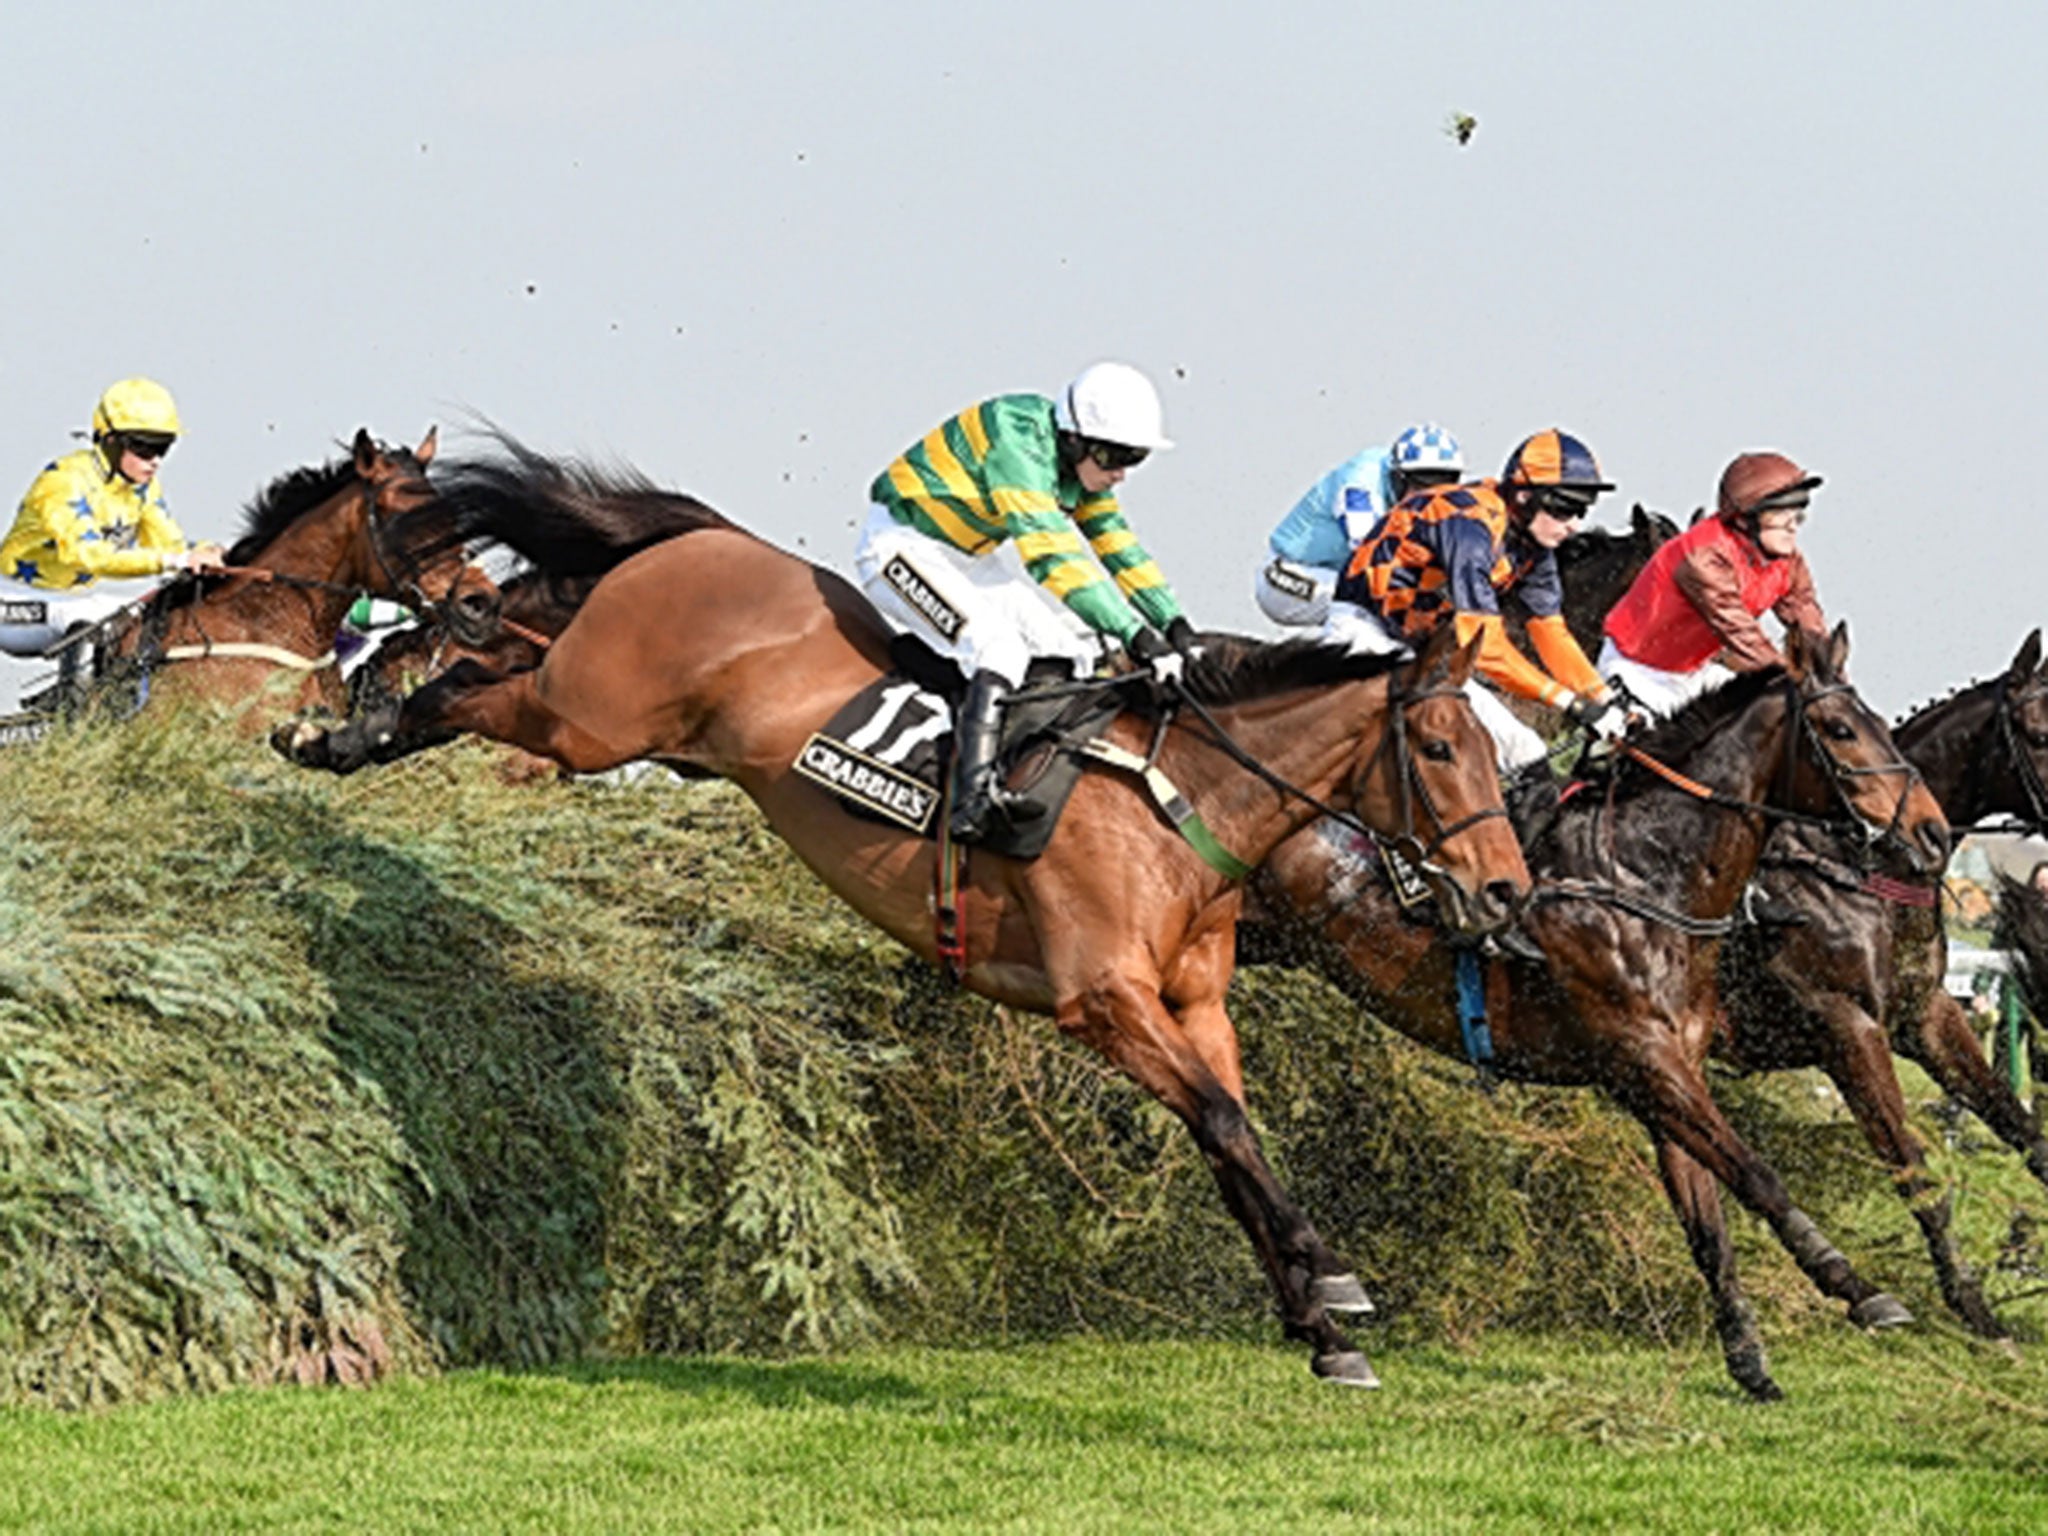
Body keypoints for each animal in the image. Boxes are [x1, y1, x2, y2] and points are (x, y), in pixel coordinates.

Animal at [268, 442, 1523, 1384]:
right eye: (1438, 747)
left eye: (1492, 750)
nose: (1504, 890)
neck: (1176, 796)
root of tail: (706, 539)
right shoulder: (1100, 1000)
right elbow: (1219, 1122)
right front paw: (1331, 1283)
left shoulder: (1193, 1004)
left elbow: (1231, 1137)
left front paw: (1317, 1324)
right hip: (588, 714)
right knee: (470, 684)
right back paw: (348, 729)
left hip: (606, 702)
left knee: (512, 623)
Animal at [1245, 626, 1949, 1409]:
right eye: (1840, 729)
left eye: (1880, 722)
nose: (1934, 833)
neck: (1644, 873)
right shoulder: (1649, 1056)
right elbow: (1757, 1175)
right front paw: (1856, 1286)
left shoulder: (1665, 1074)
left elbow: (1709, 1221)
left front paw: (1748, 1358)